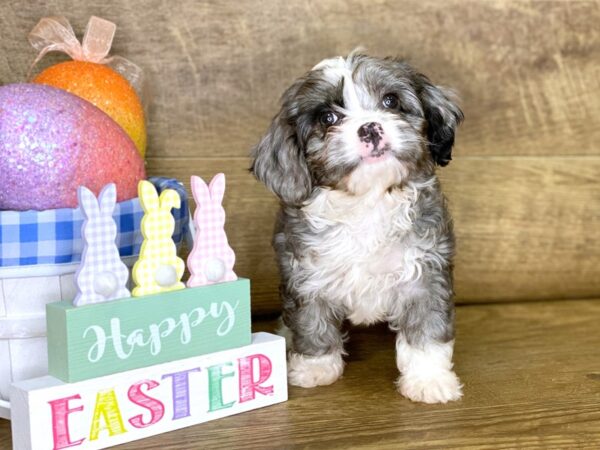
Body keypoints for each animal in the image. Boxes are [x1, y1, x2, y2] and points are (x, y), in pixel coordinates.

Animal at [250, 53, 464, 404]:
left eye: (391, 101)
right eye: (328, 118)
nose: (369, 127)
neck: (369, 201)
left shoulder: (425, 272)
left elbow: (426, 327)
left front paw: (428, 379)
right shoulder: (307, 275)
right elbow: (312, 322)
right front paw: (315, 367)